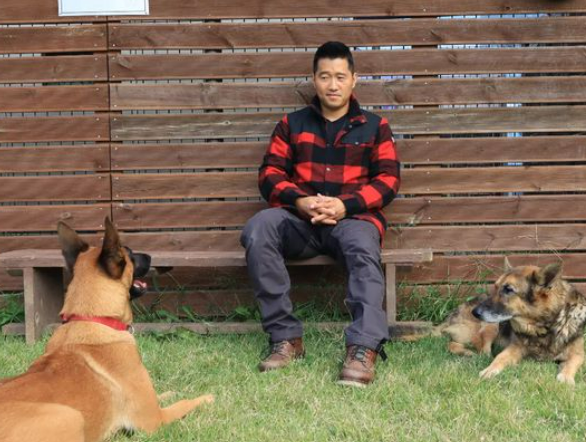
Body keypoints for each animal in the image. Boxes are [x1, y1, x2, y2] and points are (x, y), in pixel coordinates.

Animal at [0, 218, 213, 442]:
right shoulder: (156, 419)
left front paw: (171, 392)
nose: (150, 256)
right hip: (70, 416)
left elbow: (162, 394)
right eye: (129, 252)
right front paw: (207, 398)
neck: (91, 318)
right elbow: (186, 403)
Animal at [438, 258, 586, 385]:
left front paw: (566, 377)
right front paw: (490, 369)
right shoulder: (515, 347)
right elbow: (500, 357)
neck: (543, 328)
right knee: (466, 347)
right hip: (491, 326)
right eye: (496, 287)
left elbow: (572, 363)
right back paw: (470, 353)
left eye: (508, 289)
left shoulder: (578, 354)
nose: (475, 313)